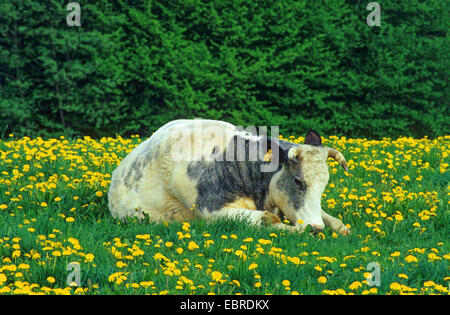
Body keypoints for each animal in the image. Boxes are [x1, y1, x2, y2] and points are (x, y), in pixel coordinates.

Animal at [107, 119, 350, 236]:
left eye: (324, 184)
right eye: (298, 181)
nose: (316, 227)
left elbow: (338, 223)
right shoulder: (211, 211)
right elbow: (271, 220)